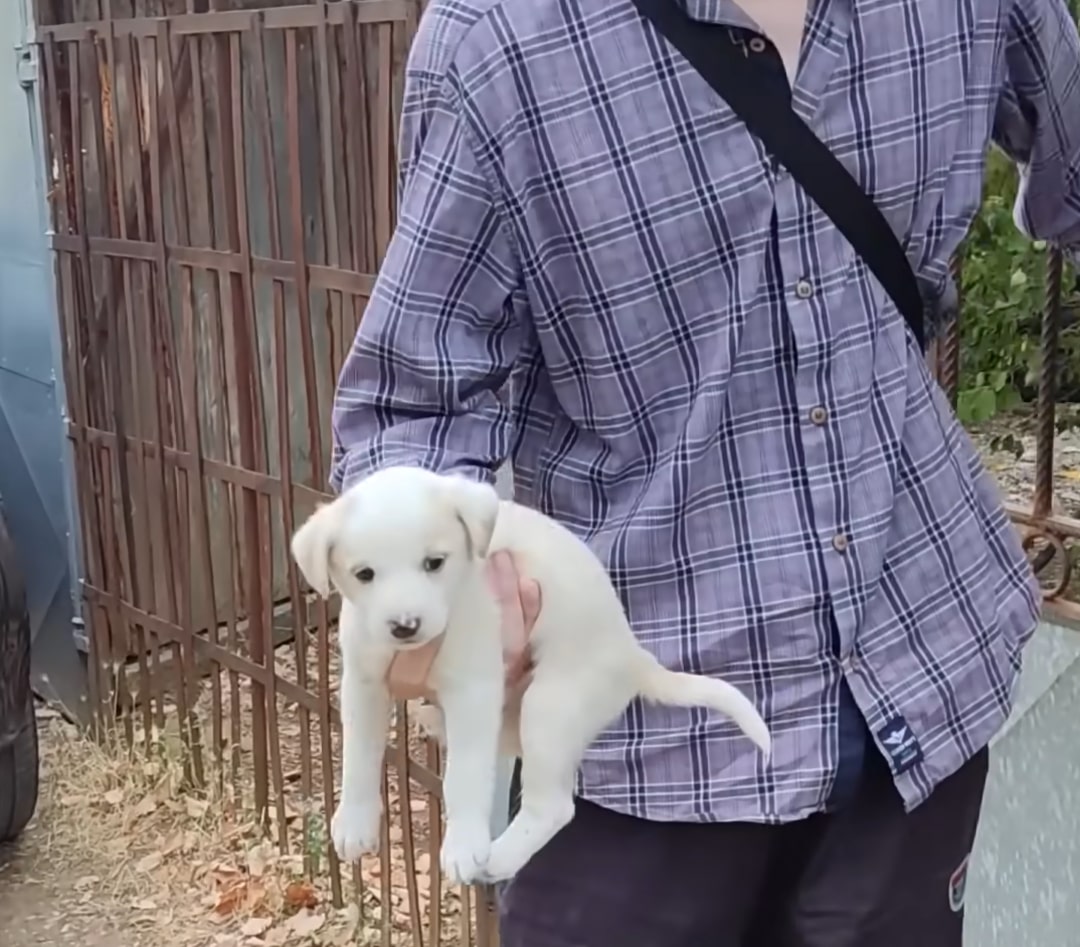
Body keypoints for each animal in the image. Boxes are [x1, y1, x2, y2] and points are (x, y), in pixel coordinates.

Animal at [291, 466, 773, 885]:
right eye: (365, 574)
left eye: (434, 563)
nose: (405, 626)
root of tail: (633, 655)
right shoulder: (363, 683)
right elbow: (358, 753)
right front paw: (354, 821)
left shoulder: (472, 688)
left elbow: (464, 776)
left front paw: (463, 846)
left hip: (550, 706)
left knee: (553, 807)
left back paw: (498, 857)